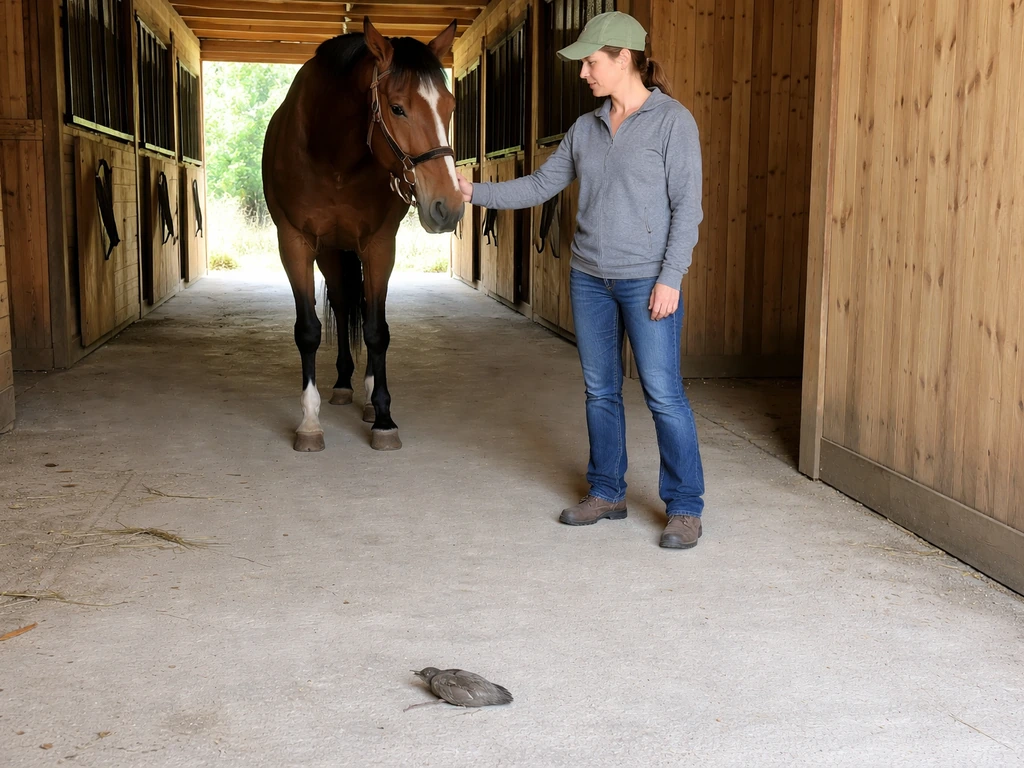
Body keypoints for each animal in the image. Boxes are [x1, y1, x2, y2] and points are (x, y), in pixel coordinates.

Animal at [262, 18, 463, 452]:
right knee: (340, 304)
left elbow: (376, 330)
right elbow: (308, 330)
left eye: (450, 106)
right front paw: (309, 423)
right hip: (330, 252)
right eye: (398, 107)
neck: (333, 155)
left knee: (366, 307)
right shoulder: (295, 243)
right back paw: (341, 383)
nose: (449, 206)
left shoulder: (379, 244)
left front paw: (384, 417)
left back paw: (368, 398)